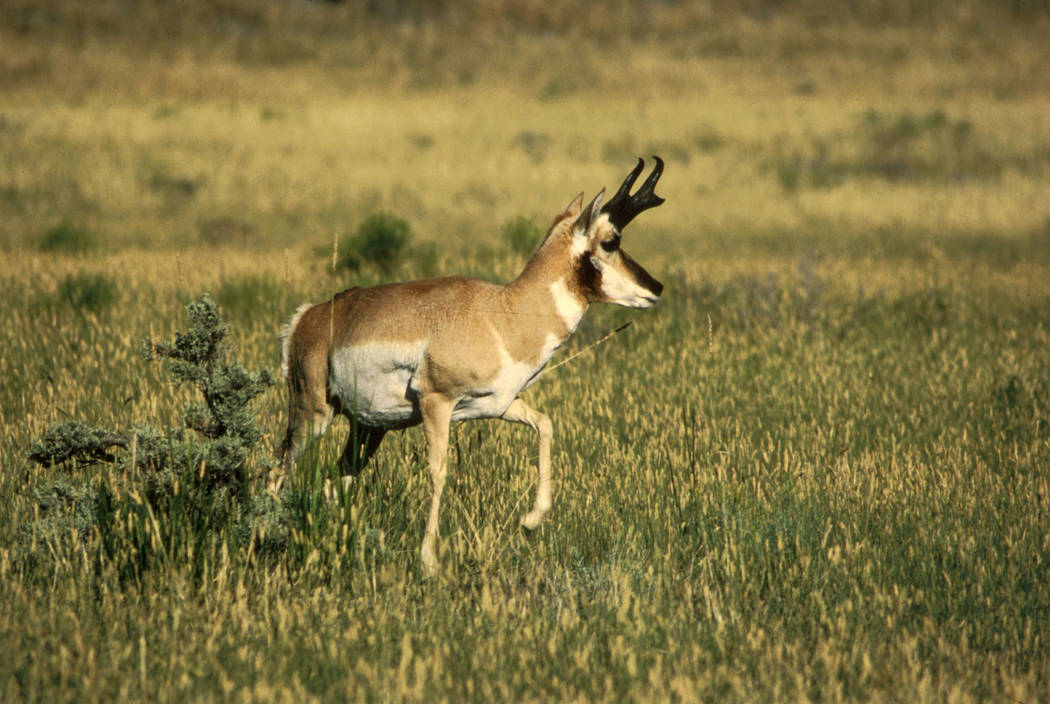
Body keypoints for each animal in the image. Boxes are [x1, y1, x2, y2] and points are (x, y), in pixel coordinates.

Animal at [277, 157, 663, 575]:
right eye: (610, 241)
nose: (656, 287)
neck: (503, 312)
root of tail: (309, 316)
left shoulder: (499, 404)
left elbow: (545, 424)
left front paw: (530, 521)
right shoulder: (437, 403)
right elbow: (438, 472)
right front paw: (429, 560)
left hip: (367, 429)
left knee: (334, 480)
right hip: (313, 415)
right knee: (279, 467)